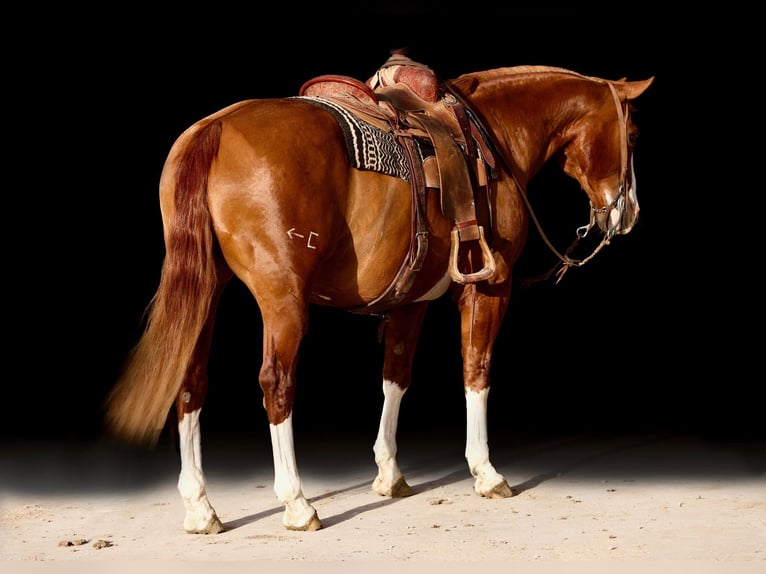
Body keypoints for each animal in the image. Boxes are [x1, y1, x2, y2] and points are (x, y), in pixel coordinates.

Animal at [103, 55, 656, 536]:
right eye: (632, 135)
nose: (628, 213)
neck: (492, 136)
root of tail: (214, 128)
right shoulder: (488, 291)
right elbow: (476, 370)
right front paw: (486, 471)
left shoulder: (412, 300)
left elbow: (396, 376)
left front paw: (389, 473)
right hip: (282, 301)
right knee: (276, 383)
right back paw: (297, 503)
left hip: (205, 291)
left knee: (190, 382)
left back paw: (200, 507)